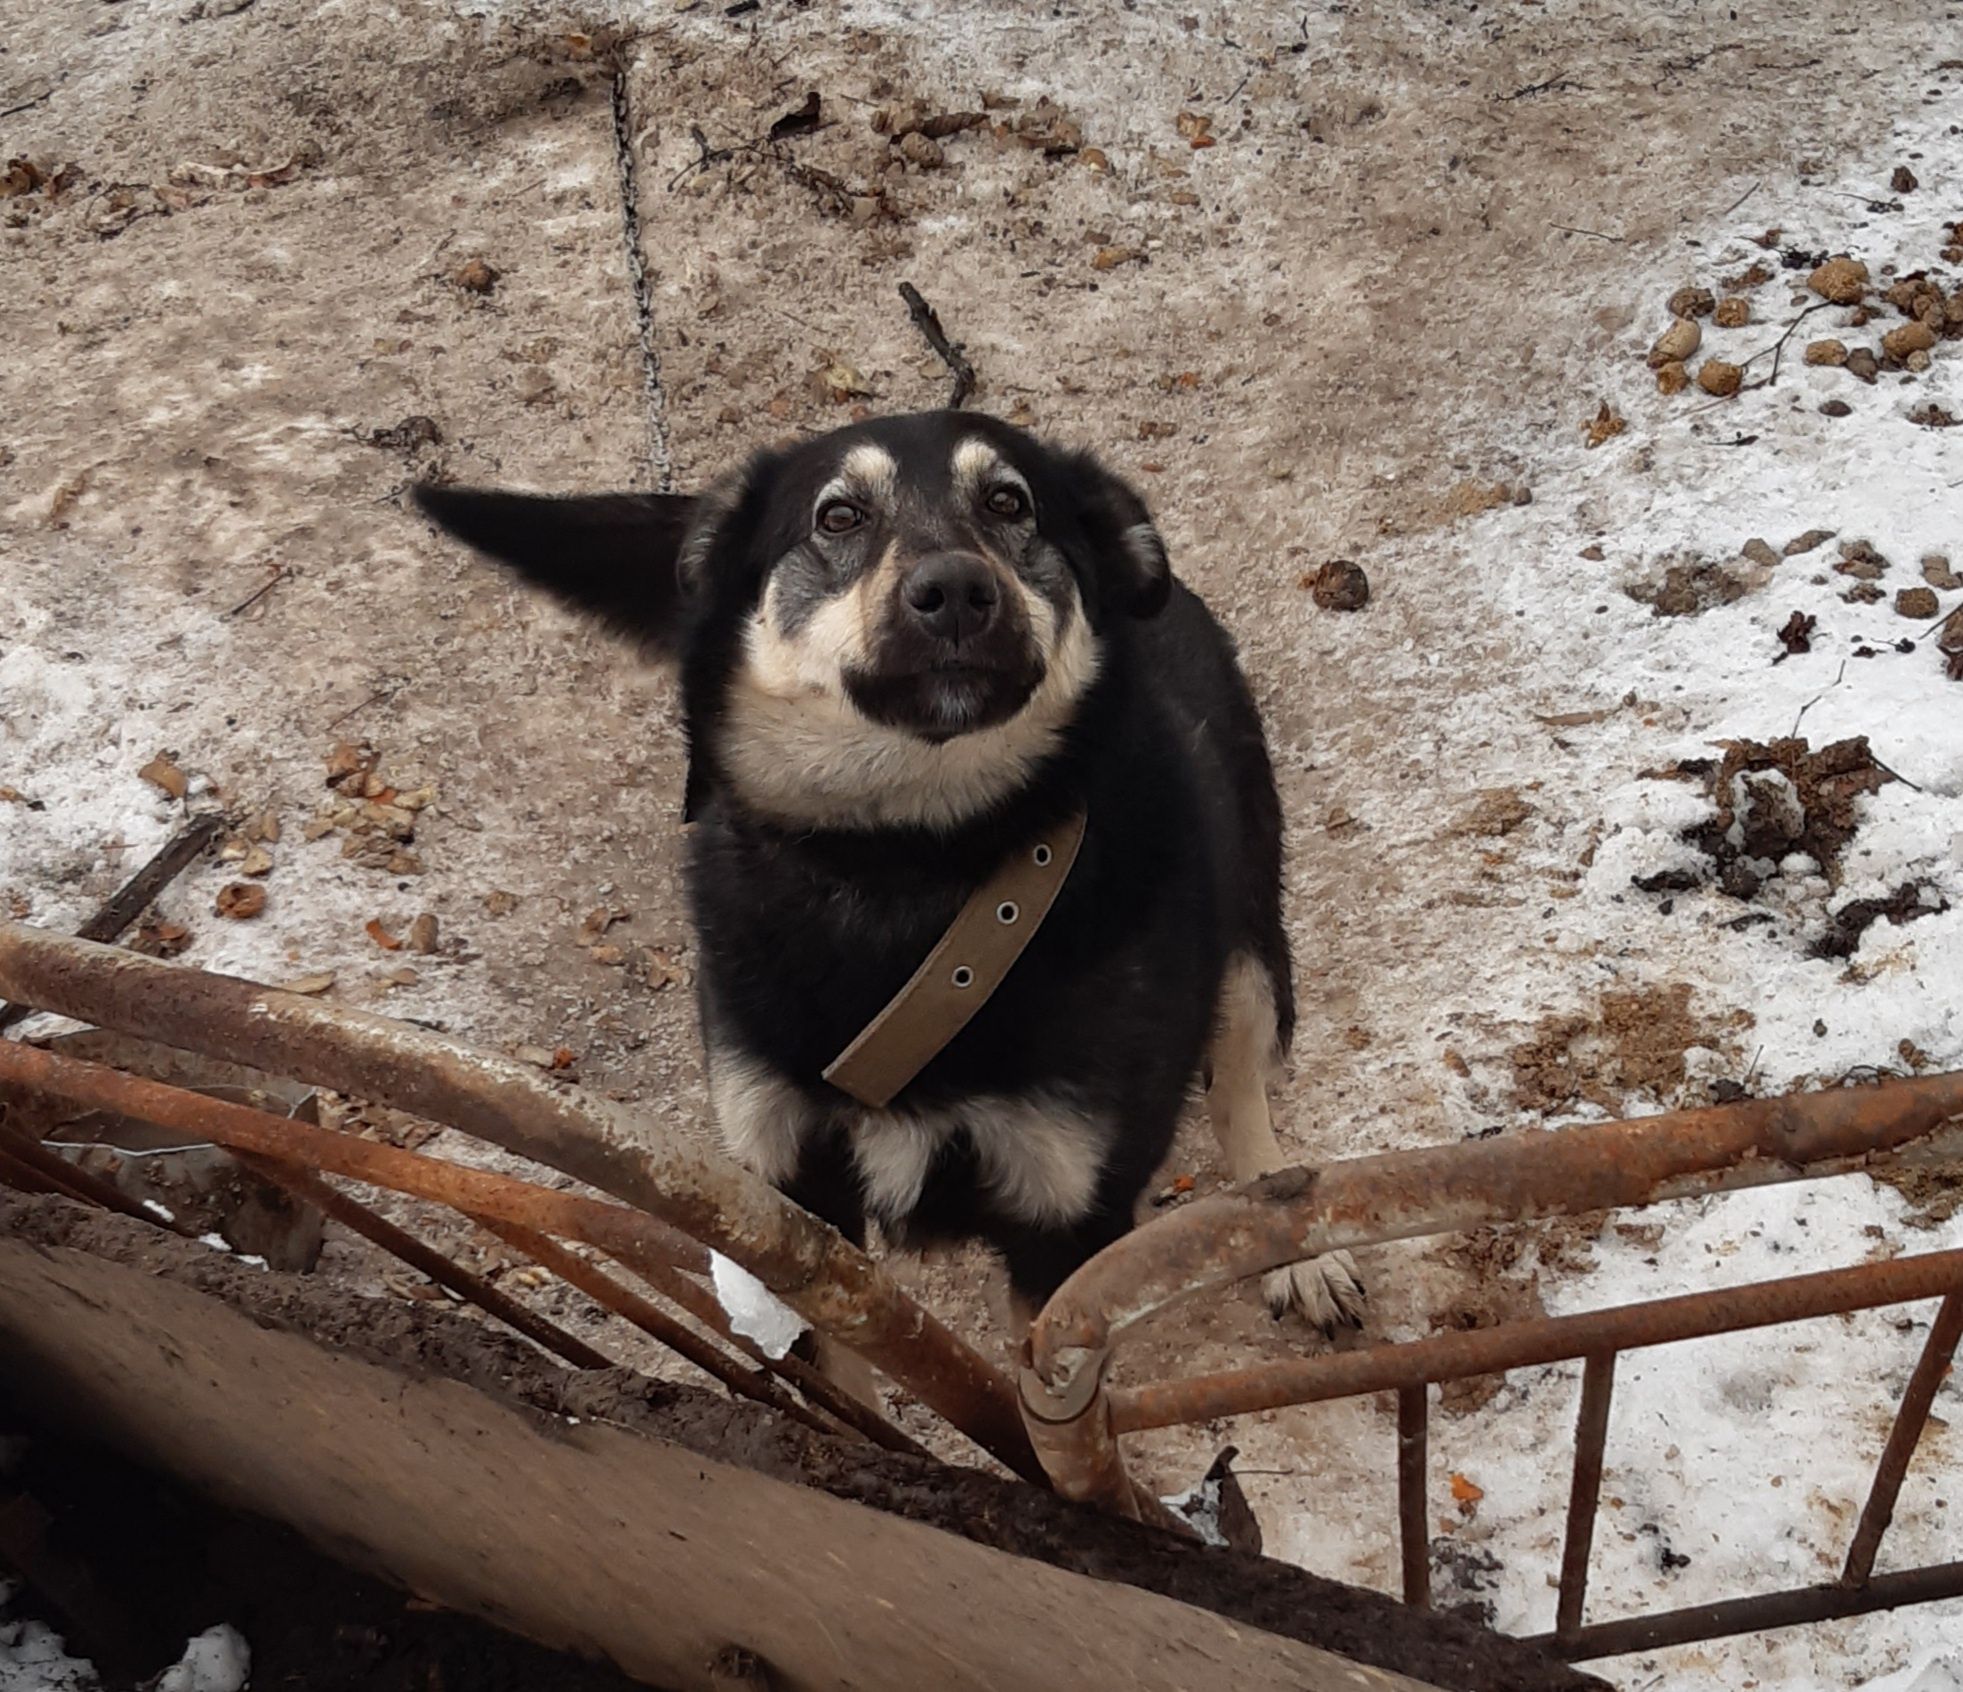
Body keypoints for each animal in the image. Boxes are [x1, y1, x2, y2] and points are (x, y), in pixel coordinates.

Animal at [416, 418, 1366, 1374]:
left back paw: (1291, 1242)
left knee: (1240, 1085)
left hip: (1248, 938)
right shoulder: (788, 1201)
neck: (908, 864)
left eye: (1009, 502)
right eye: (838, 515)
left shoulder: (1060, 1222)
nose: (954, 592)